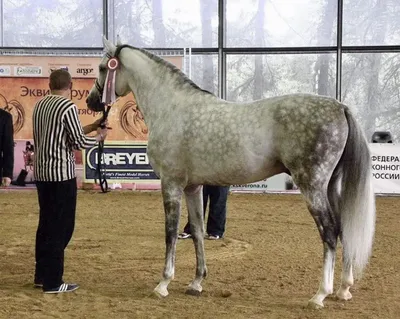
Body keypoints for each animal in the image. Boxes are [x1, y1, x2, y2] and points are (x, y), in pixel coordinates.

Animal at [86, 37, 376, 310]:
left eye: (102, 67)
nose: (91, 101)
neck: (172, 108)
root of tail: (340, 107)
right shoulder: (192, 187)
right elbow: (197, 231)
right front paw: (196, 282)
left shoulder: (171, 184)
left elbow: (170, 233)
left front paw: (163, 283)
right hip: (331, 186)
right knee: (344, 228)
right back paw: (343, 289)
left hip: (313, 186)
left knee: (329, 232)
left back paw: (320, 295)